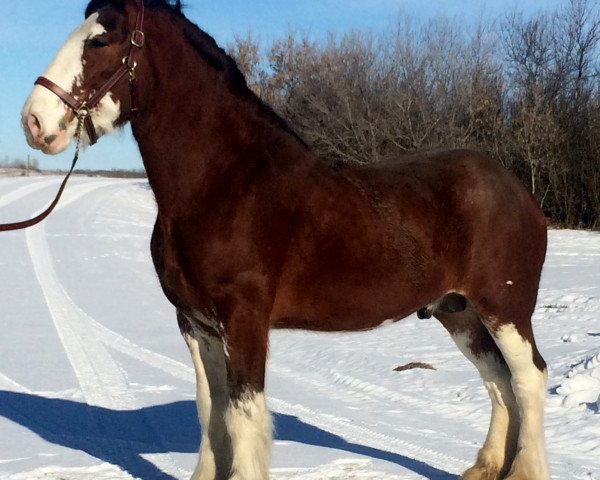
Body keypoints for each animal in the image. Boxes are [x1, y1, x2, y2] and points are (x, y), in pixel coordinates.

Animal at [21, 1, 552, 478]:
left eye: (99, 40)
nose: (33, 122)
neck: (224, 184)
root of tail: (518, 191)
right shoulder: (195, 325)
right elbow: (210, 412)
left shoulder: (244, 320)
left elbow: (243, 417)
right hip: (457, 311)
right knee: (498, 380)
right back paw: (487, 467)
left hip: (505, 308)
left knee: (528, 378)